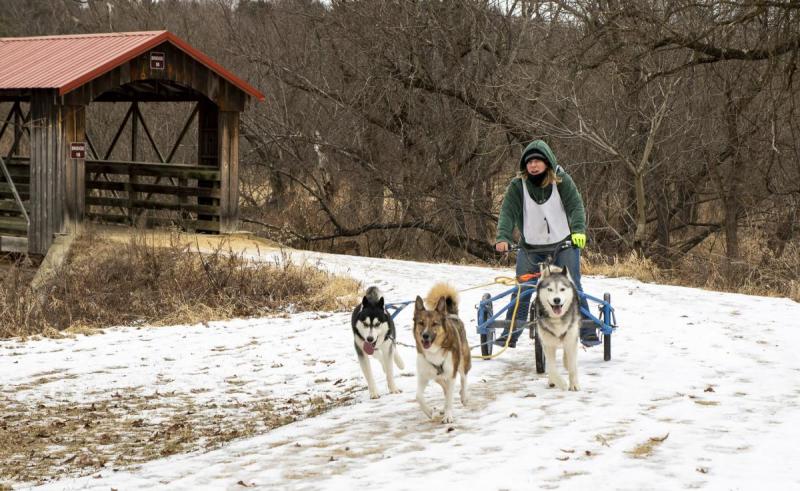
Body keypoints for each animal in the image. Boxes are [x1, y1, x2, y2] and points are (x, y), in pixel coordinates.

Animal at [416, 282, 472, 424]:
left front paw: (448, 416)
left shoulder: (451, 374)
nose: (425, 336)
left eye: (434, 323)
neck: (434, 351)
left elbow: (451, 395)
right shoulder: (424, 375)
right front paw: (430, 412)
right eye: (421, 323)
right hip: (437, 375)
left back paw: (463, 396)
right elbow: (418, 396)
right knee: (444, 386)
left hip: (463, 359)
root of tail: (451, 315)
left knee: (463, 378)